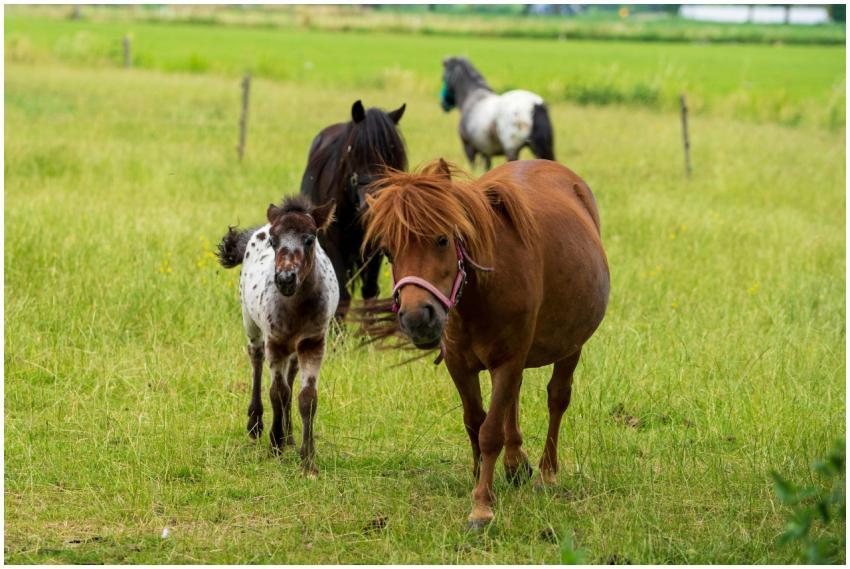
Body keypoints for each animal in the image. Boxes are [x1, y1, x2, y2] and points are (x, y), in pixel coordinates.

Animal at [217, 196, 339, 477]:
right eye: (274, 241)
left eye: (310, 239)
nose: (285, 279)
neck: (297, 307)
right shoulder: (275, 342)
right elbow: (277, 392)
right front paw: (275, 443)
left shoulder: (313, 343)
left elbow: (307, 398)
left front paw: (308, 460)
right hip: (250, 320)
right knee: (256, 358)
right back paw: (257, 424)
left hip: (294, 348)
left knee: (291, 375)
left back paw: (291, 435)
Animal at [301, 99, 407, 320]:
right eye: (356, 151)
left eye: (392, 156)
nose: (373, 208)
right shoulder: (332, 244)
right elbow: (341, 294)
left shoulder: (375, 247)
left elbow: (370, 291)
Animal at [358, 158, 609, 528]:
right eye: (388, 251)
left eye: (442, 239)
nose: (417, 318)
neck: (479, 294)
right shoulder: (459, 364)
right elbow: (475, 422)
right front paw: (480, 478)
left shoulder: (507, 359)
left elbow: (490, 431)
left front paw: (482, 506)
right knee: (514, 398)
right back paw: (515, 463)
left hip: (569, 346)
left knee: (557, 399)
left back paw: (547, 473)